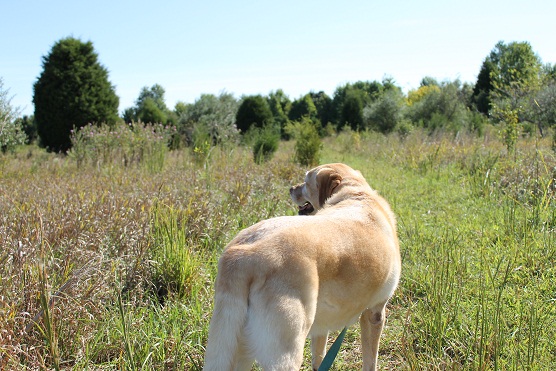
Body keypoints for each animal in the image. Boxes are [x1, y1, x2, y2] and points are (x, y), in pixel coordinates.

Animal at [203, 163, 400, 371]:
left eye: (305, 182)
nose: (290, 188)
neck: (355, 192)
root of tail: (243, 253)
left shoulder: (323, 325)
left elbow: (319, 358)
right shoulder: (374, 314)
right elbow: (370, 360)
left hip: (234, 348)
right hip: (286, 351)